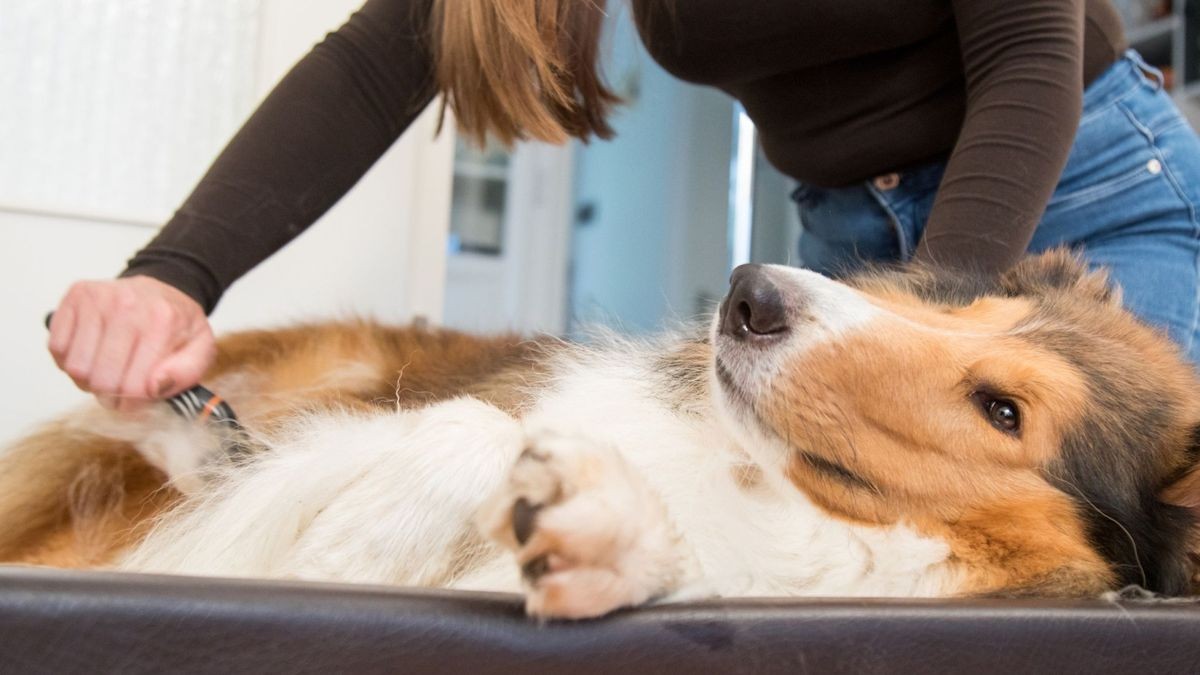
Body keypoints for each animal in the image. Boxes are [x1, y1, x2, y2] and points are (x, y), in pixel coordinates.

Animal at [2, 249, 1200, 619]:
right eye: (966, 307)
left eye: (1003, 409)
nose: (750, 291)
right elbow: (473, 423)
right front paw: (362, 540)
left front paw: (599, 535)